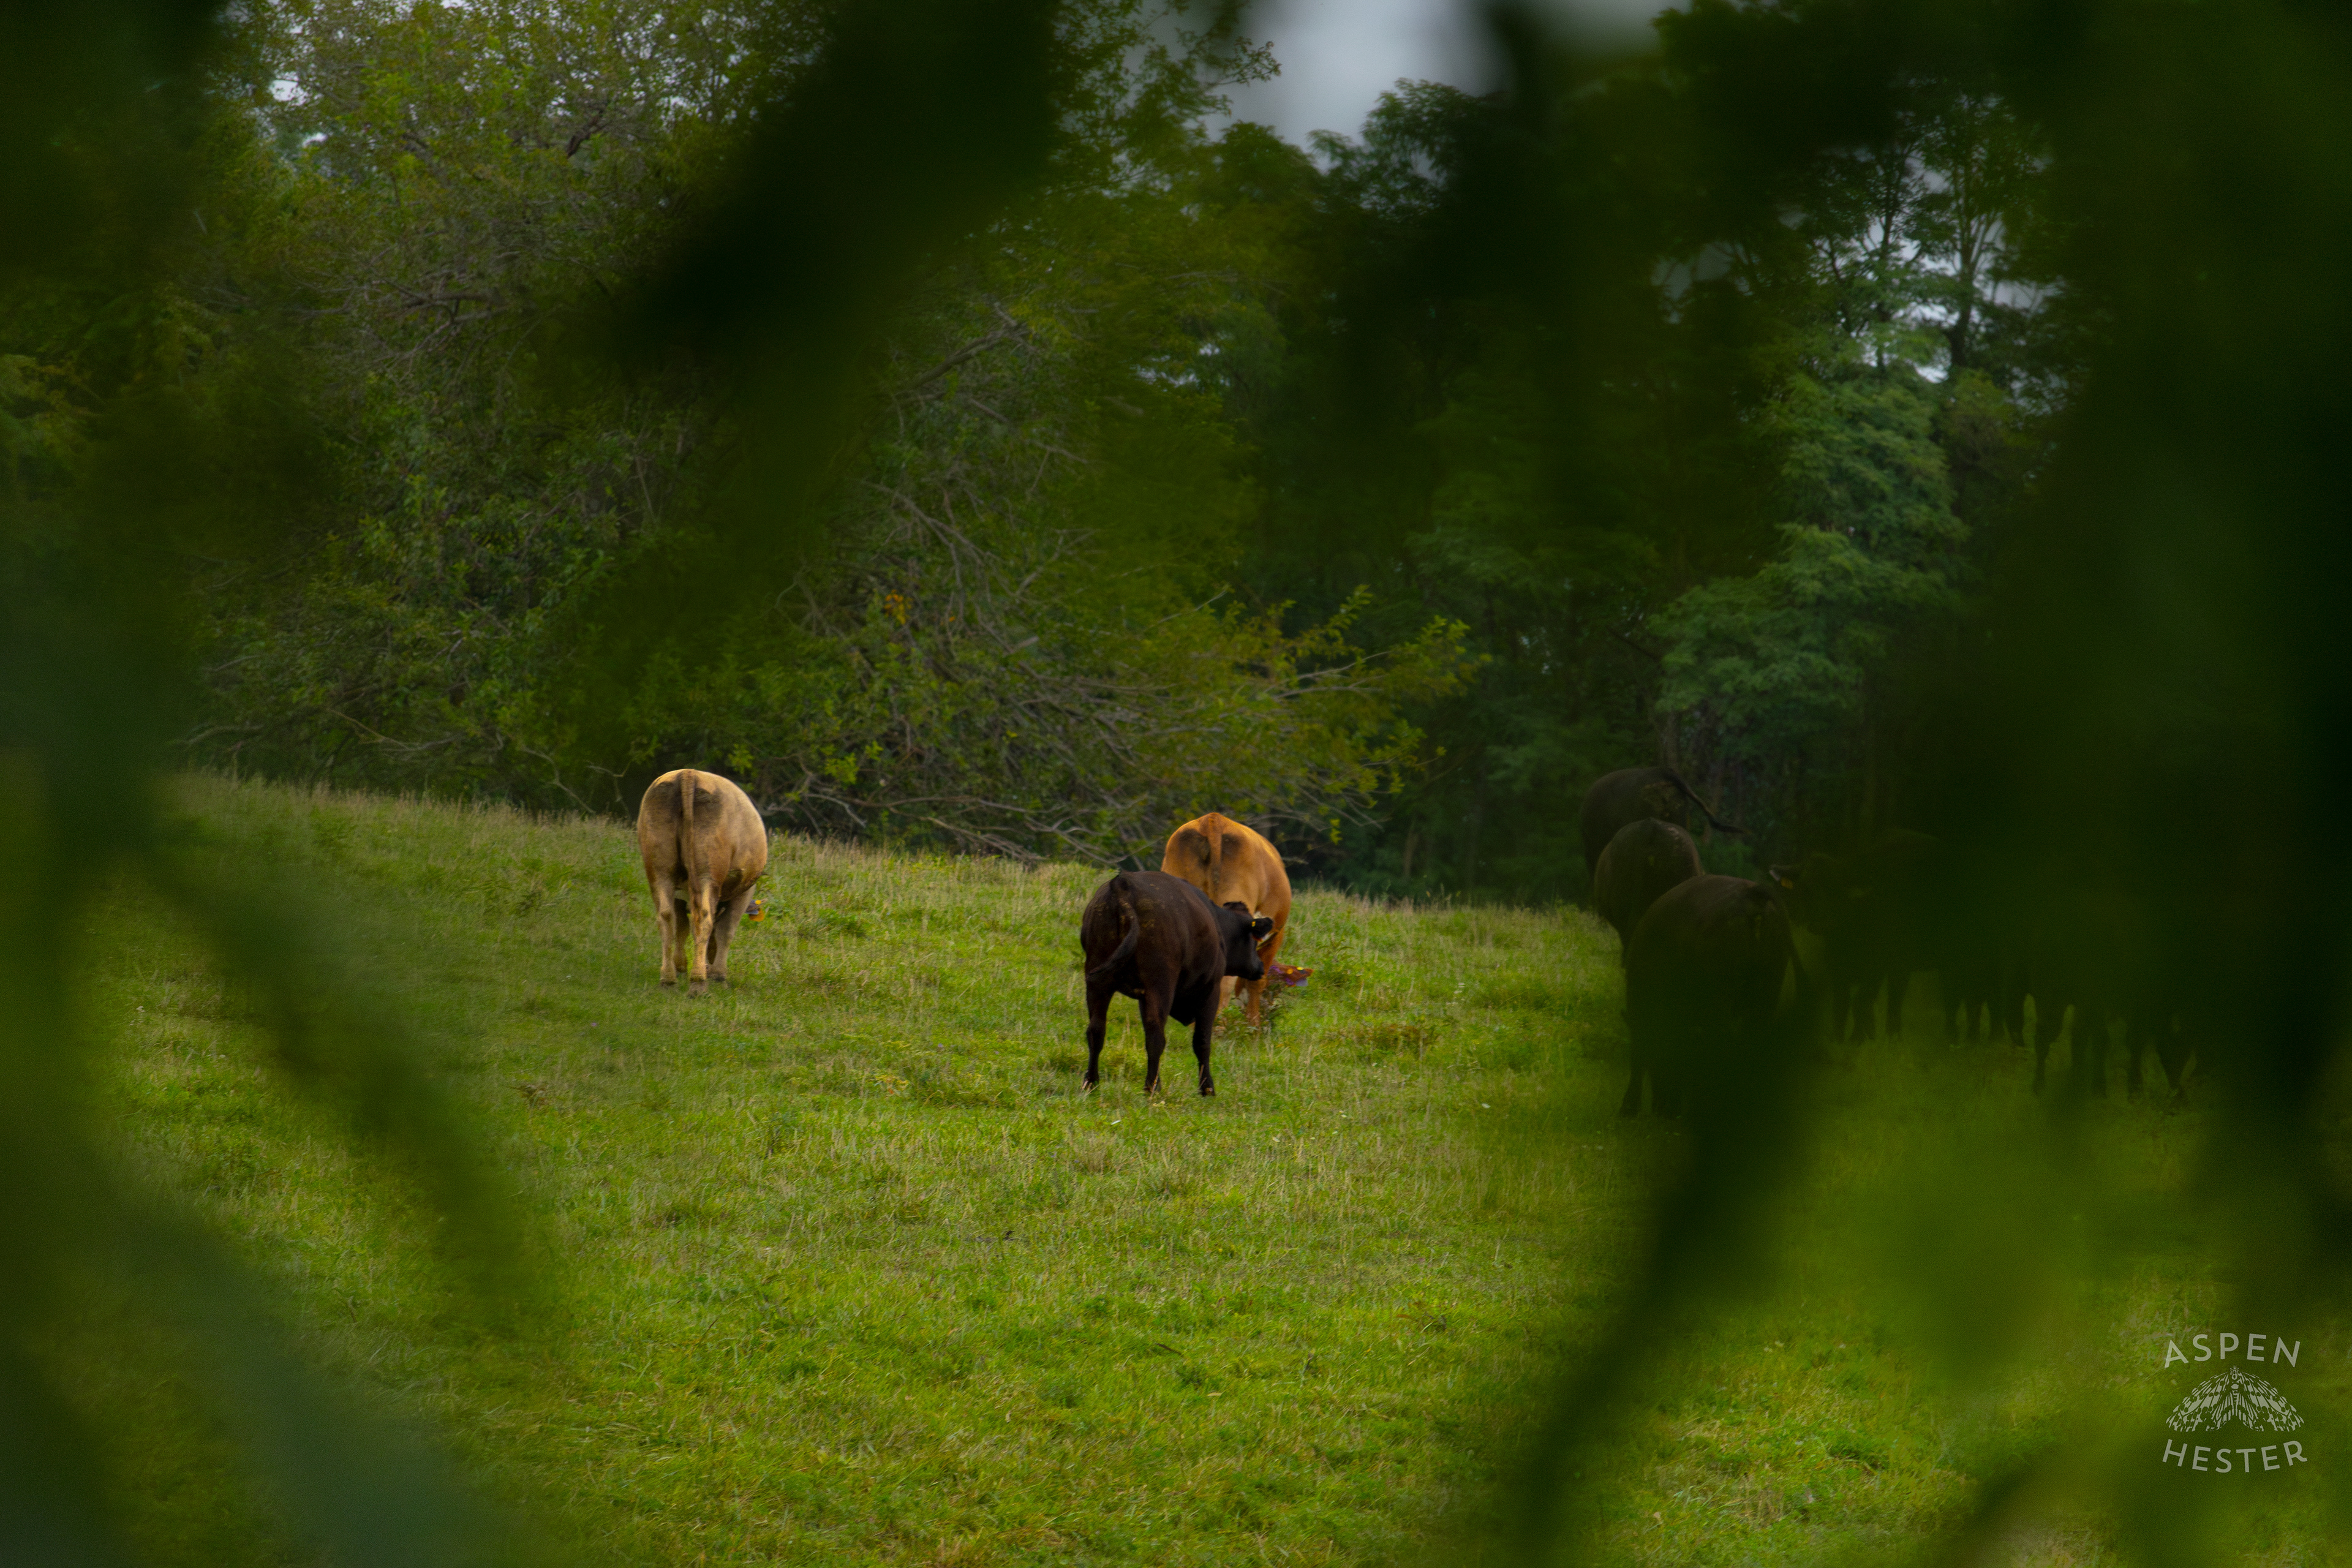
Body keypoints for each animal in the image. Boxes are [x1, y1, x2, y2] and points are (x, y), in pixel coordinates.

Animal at [636, 768, 769, 993]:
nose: (711, 959)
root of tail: (688, 773)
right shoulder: (744, 892)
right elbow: (726, 931)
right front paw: (718, 975)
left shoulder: (678, 894)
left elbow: (681, 926)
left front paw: (681, 965)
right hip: (708, 873)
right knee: (704, 917)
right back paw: (698, 982)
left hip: (659, 870)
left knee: (666, 917)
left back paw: (668, 978)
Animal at [1080, 871, 1273, 1096]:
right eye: (1254, 940)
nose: (1260, 966)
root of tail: (1123, 883)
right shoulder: (1210, 990)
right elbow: (1202, 1041)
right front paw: (1207, 1088)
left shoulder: (1143, 996)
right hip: (1161, 983)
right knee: (1156, 1037)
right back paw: (1151, 1088)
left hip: (1098, 980)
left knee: (1096, 1030)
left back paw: (1091, 1083)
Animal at [1621, 874, 1811, 1117]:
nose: (1662, 1106)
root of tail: (1753, 896)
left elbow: (1638, 1053)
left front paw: (1629, 1106)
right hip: (1765, 998)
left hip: (1722, 1005)